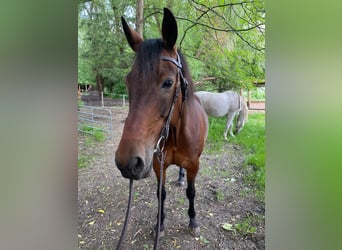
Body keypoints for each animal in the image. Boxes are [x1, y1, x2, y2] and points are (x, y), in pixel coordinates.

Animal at [115, 7, 208, 237]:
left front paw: (193, 221)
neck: (176, 133)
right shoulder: (158, 164)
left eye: (168, 82)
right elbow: (162, 194)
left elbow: (191, 192)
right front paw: (161, 223)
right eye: (128, 81)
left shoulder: (195, 165)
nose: (127, 162)